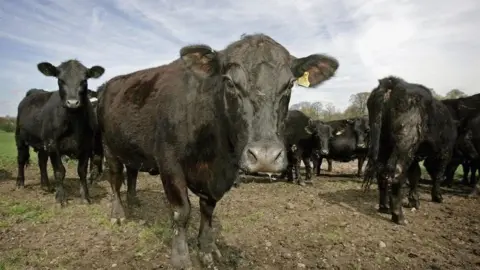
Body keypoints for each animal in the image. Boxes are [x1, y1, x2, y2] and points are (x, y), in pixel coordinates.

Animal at [15, 59, 104, 207]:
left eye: (84, 80)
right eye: (60, 80)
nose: (72, 102)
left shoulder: (87, 146)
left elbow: (81, 171)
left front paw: (85, 196)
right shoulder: (53, 145)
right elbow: (59, 171)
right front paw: (60, 198)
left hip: (42, 143)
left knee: (42, 161)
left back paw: (46, 185)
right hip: (20, 138)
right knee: (21, 159)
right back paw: (20, 182)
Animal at [96, 33, 338, 268]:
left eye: (289, 85)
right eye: (230, 82)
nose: (265, 157)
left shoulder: (219, 177)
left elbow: (208, 210)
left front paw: (207, 250)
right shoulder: (169, 163)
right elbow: (182, 211)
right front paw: (181, 258)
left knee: (132, 173)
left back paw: (133, 200)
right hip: (109, 147)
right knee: (115, 180)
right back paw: (118, 214)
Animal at [364, 76, 458, 226]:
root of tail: (394, 82)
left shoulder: (415, 156)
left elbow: (415, 175)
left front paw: (414, 201)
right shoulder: (445, 153)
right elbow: (438, 175)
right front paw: (437, 197)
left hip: (384, 144)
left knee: (382, 174)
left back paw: (385, 207)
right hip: (406, 143)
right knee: (396, 175)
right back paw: (399, 217)